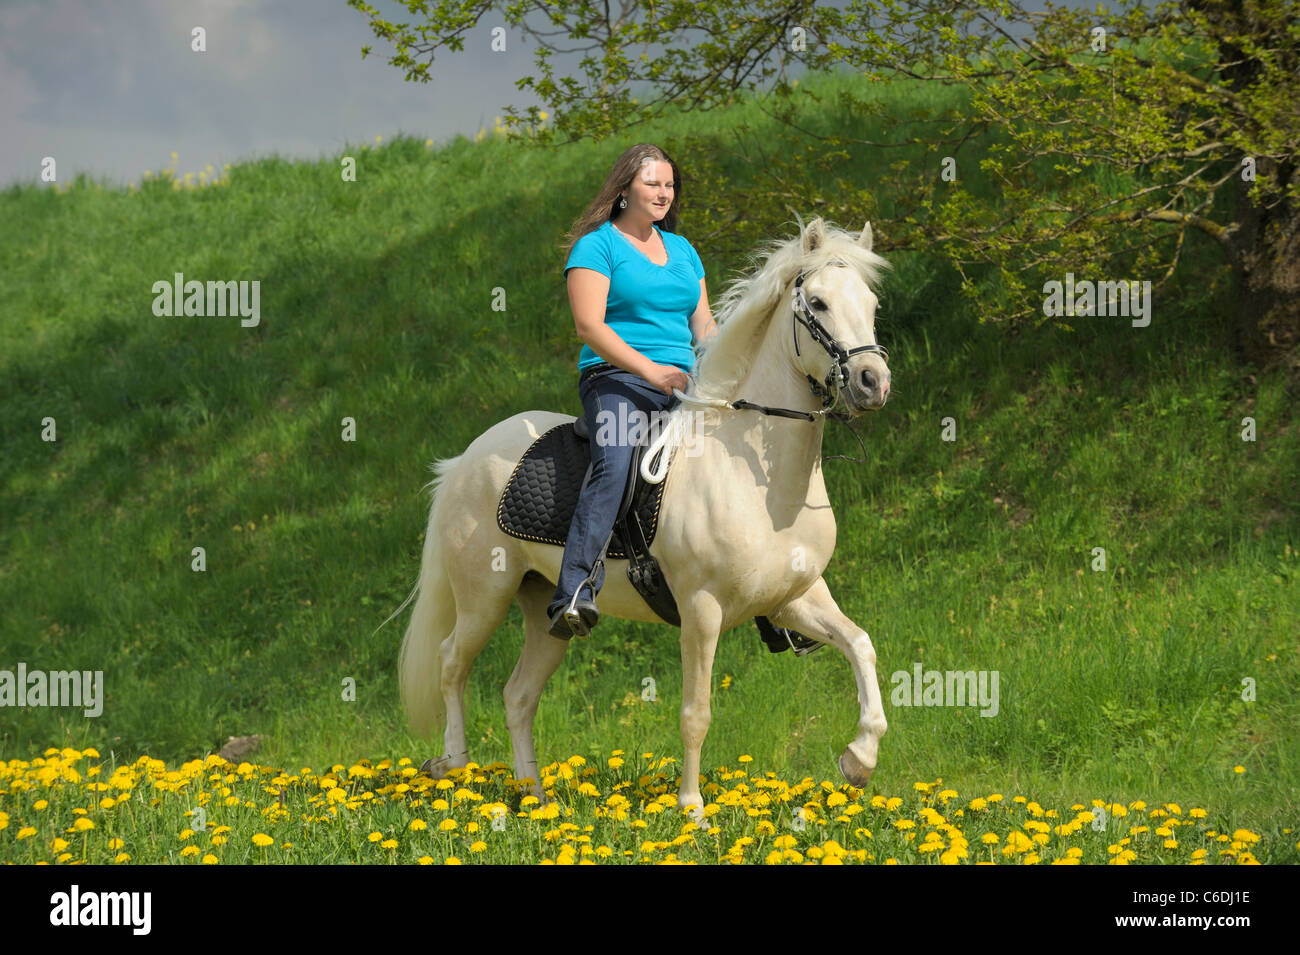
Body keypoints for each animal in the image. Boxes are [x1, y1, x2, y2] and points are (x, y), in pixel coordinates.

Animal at [390, 214, 889, 815]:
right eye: (817, 303)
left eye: (872, 302)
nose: (872, 382)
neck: (756, 479)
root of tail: (463, 459)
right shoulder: (701, 610)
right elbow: (696, 713)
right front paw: (692, 810)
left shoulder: (795, 597)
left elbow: (861, 644)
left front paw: (859, 759)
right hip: (483, 597)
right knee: (451, 664)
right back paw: (455, 769)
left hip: (545, 609)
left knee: (518, 695)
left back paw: (535, 799)